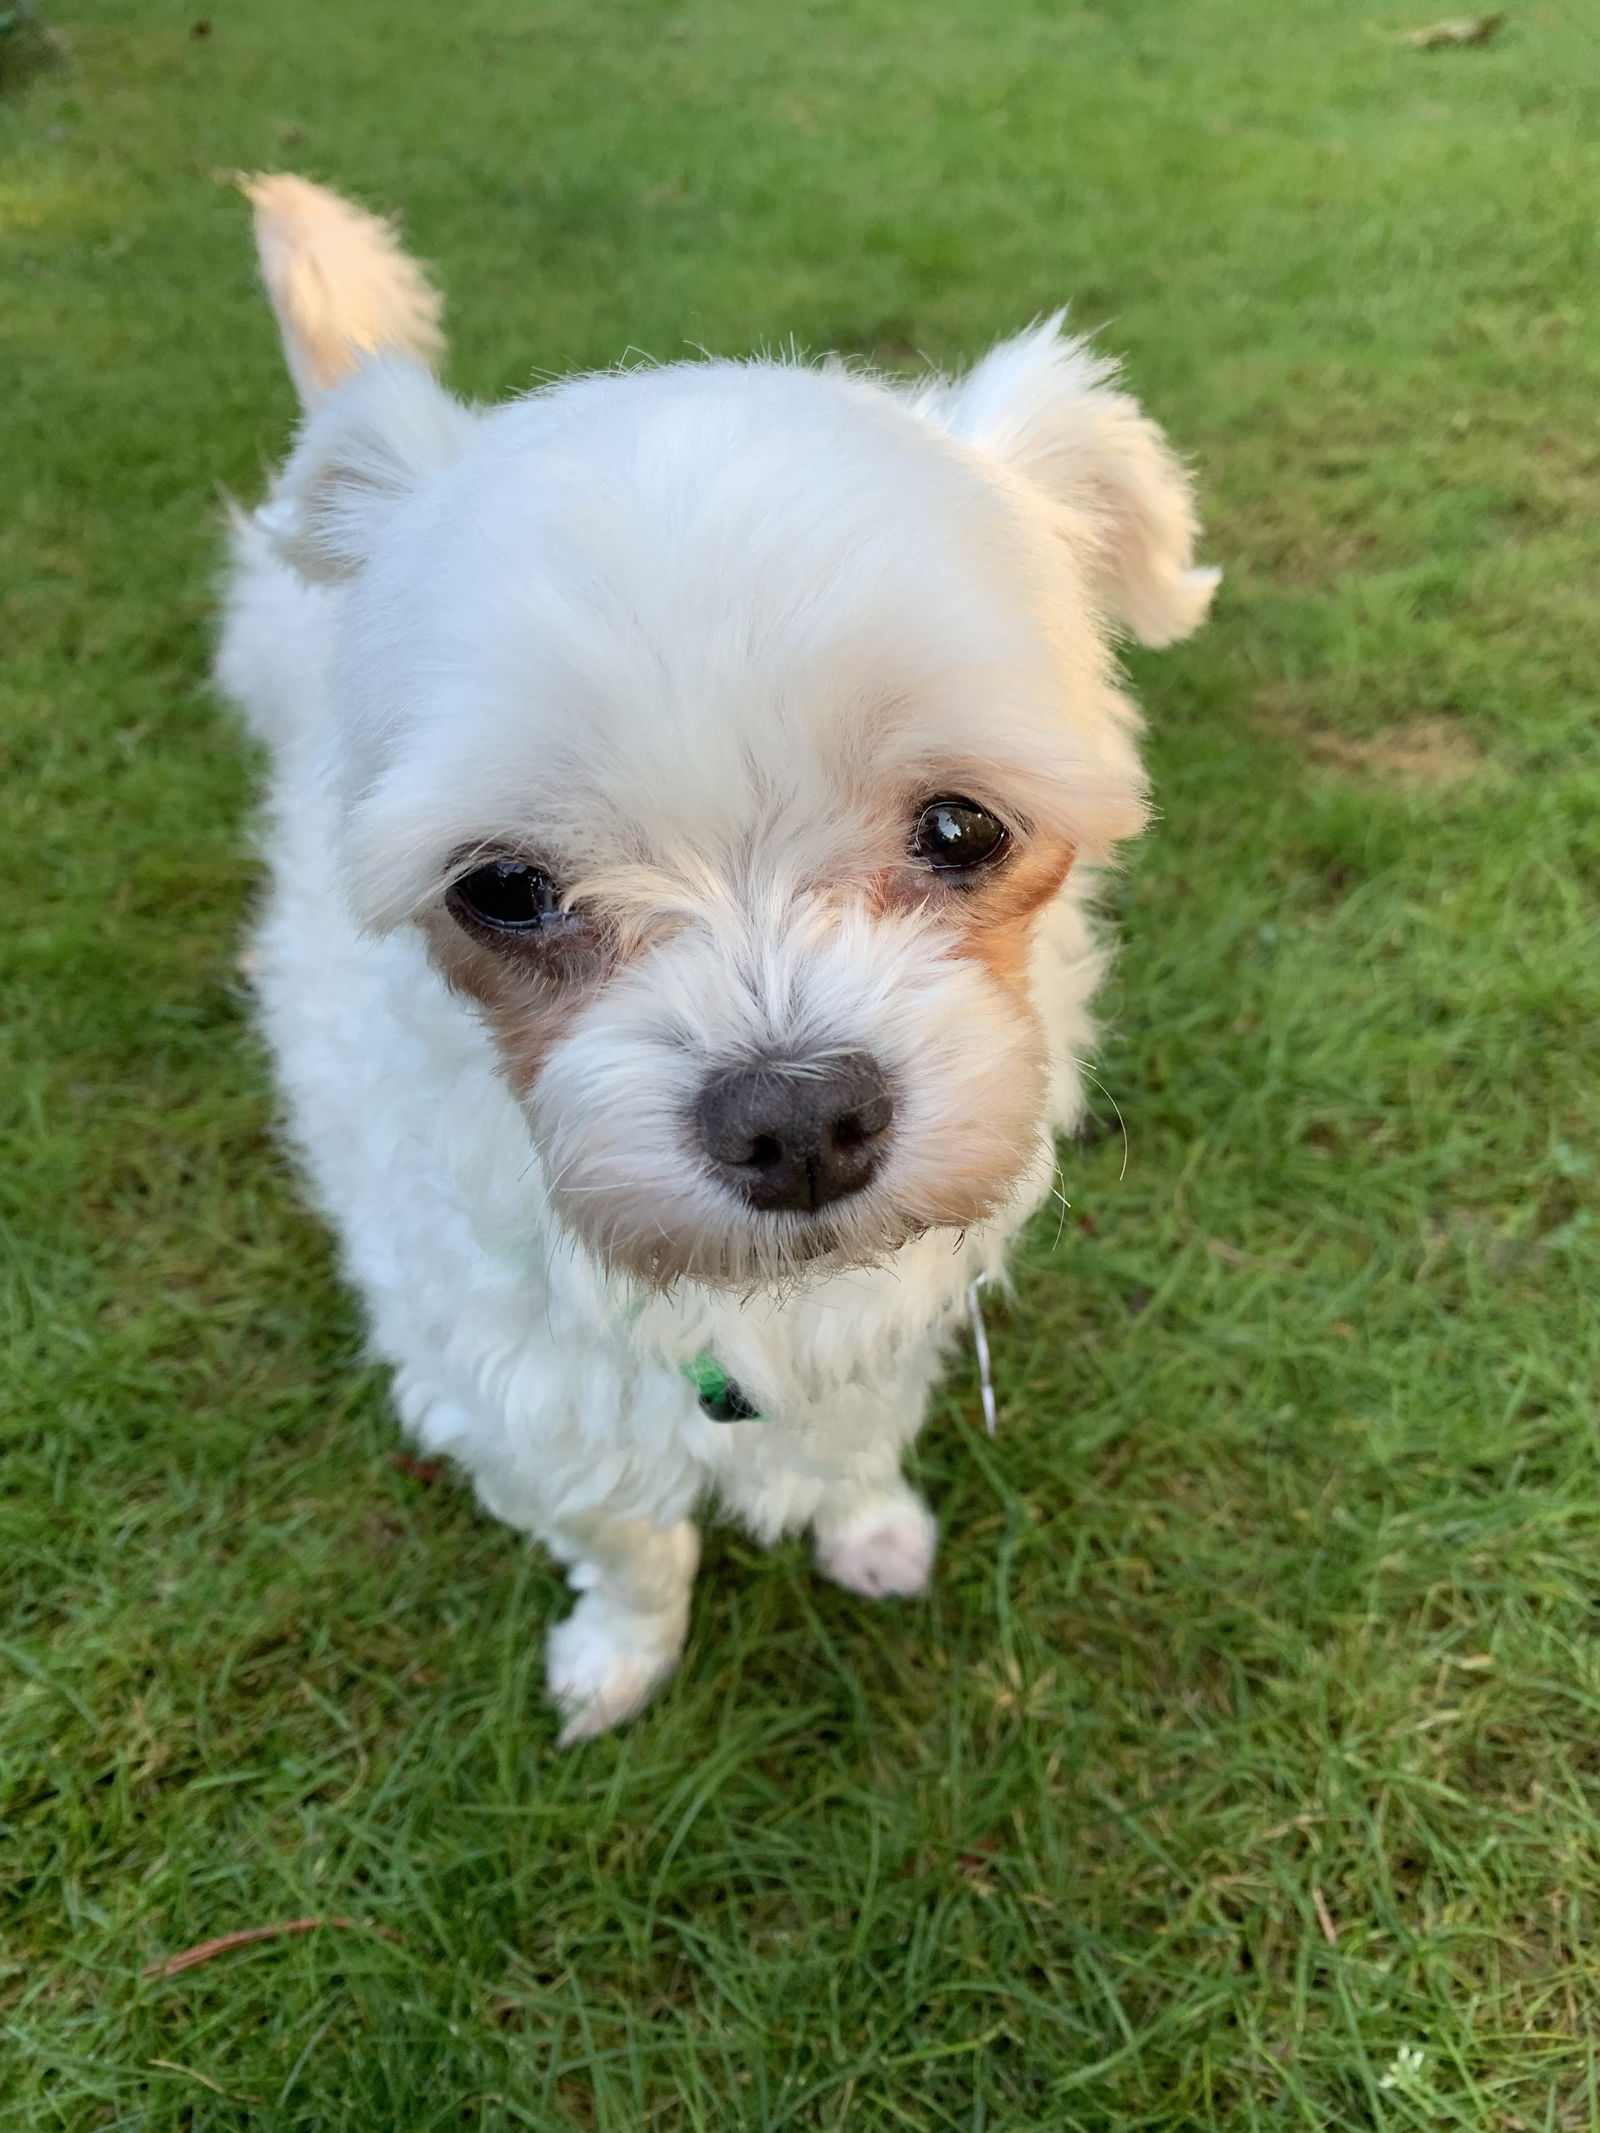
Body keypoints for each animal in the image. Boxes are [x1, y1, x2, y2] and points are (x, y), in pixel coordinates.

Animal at [219, 179, 1220, 1749]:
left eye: (964, 826)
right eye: (500, 890)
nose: (796, 1119)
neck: (759, 1308)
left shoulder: (890, 1309)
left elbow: (857, 1444)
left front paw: (870, 1530)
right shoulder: (520, 1391)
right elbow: (634, 1546)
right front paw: (621, 1654)